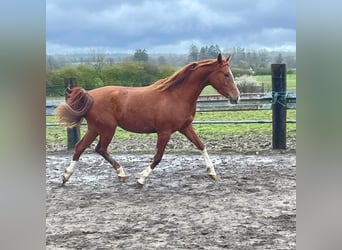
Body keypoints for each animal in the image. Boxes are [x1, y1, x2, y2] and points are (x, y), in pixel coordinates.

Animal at [54, 53, 239, 187]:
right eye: (226, 74)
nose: (236, 97)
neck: (177, 95)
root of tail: (90, 95)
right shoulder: (164, 132)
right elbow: (158, 157)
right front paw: (141, 179)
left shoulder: (186, 127)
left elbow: (201, 145)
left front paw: (212, 173)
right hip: (107, 129)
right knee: (100, 148)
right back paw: (121, 173)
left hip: (95, 128)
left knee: (80, 147)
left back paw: (66, 176)